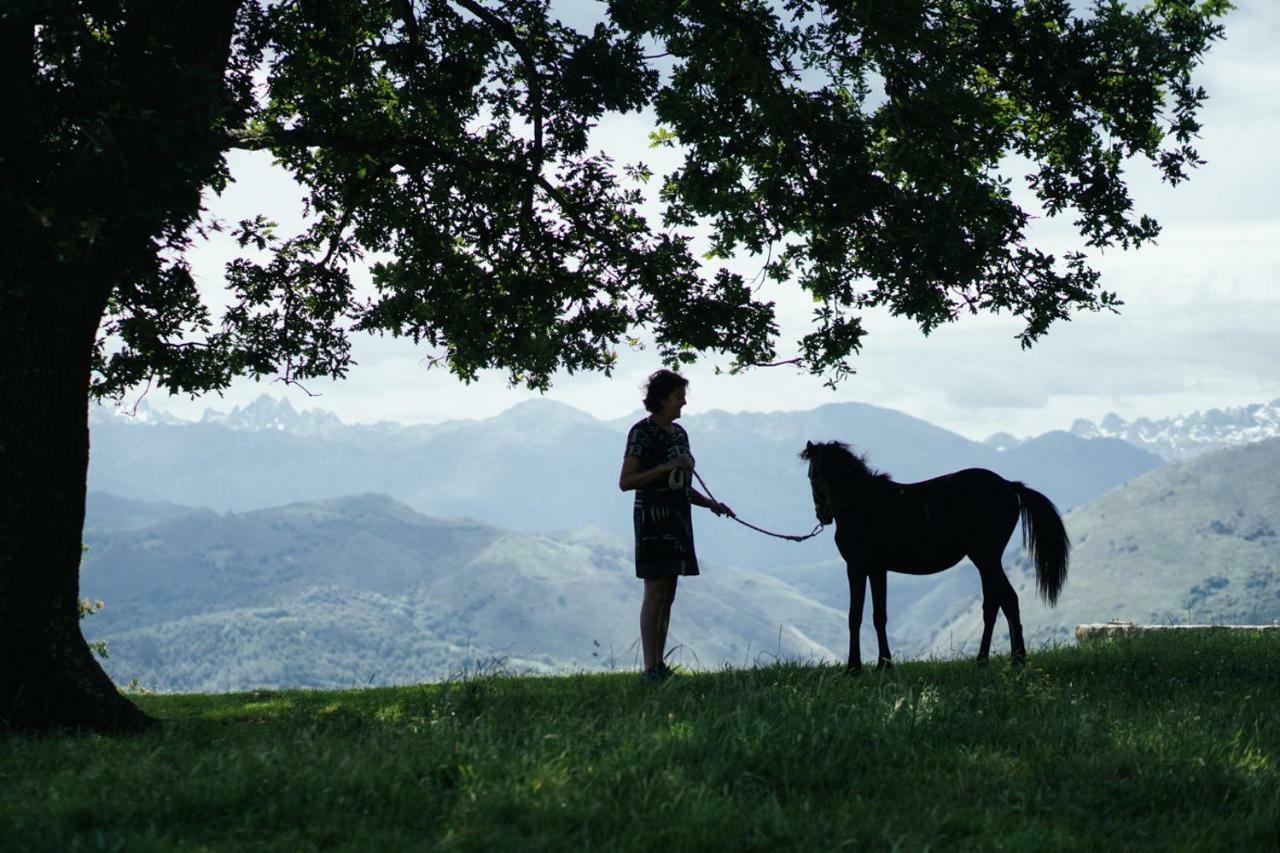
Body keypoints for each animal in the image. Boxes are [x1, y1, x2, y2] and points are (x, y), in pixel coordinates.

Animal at [798, 438, 1070, 671]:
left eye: (811, 475)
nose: (822, 515)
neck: (860, 502)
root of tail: (1008, 485)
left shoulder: (856, 567)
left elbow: (855, 616)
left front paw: (854, 668)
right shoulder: (877, 570)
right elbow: (879, 616)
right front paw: (884, 664)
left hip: (986, 559)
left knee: (1009, 600)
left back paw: (1017, 660)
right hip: (985, 562)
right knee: (992, 606)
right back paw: (983, 660)